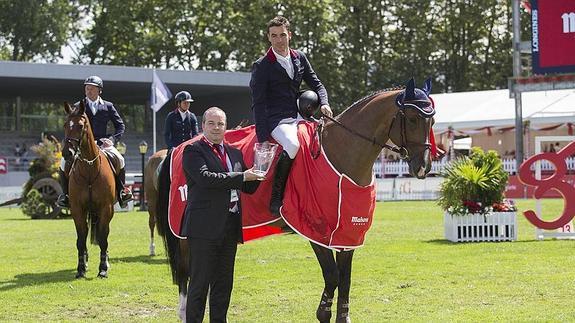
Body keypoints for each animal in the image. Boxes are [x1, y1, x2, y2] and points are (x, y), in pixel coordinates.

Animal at [62, 102, 117, 278]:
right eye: (65, 125)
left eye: (80, 126)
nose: (67, 153)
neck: (89, 168)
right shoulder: (77, 208)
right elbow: (81, 239)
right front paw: (80, 269)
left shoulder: (106, 208)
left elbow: (103, 237)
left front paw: (103, 268)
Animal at [154, 78, 436, 322]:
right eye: (412, 119)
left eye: (432, 122)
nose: (423, 167)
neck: (340, 155)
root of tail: (179, 147)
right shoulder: (315, 230)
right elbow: (332, 276)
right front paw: (323, 312)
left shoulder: (347, 233)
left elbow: (345, 279)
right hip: (185, 233)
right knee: (187, 271)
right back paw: (184, 311)